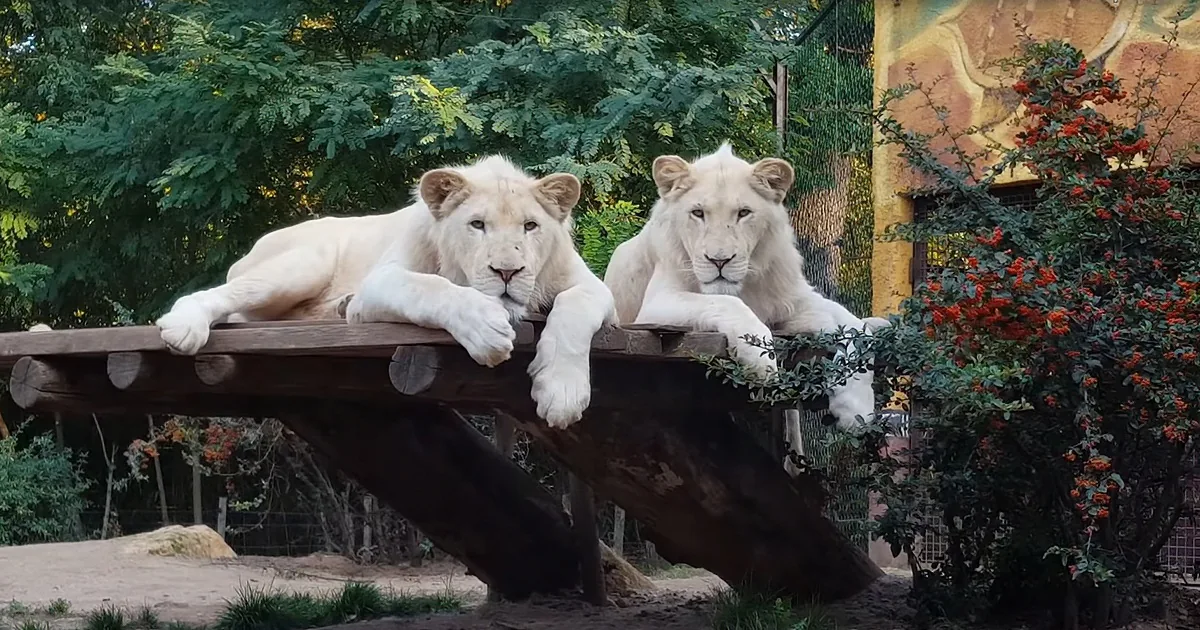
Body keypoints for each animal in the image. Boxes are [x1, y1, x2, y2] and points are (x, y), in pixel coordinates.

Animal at [155, 155, 616, 428]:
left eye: (530, 226)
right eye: (477, 225)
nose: (507, 271)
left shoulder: (593, 288)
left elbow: (575, 309)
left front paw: (562, 393)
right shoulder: (379, 282)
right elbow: (433, 287)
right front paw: (486, 330)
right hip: (305, 262)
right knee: (222, 294)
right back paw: (183, 326)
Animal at [603, 144, 888, 434]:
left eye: (743, 213)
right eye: (698, 213)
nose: (719, 260)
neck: (745, 286)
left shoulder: (793, 300)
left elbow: (856, 327)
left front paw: (855, 409)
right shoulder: (656, 303)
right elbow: (726, 302)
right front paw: (761, 361)